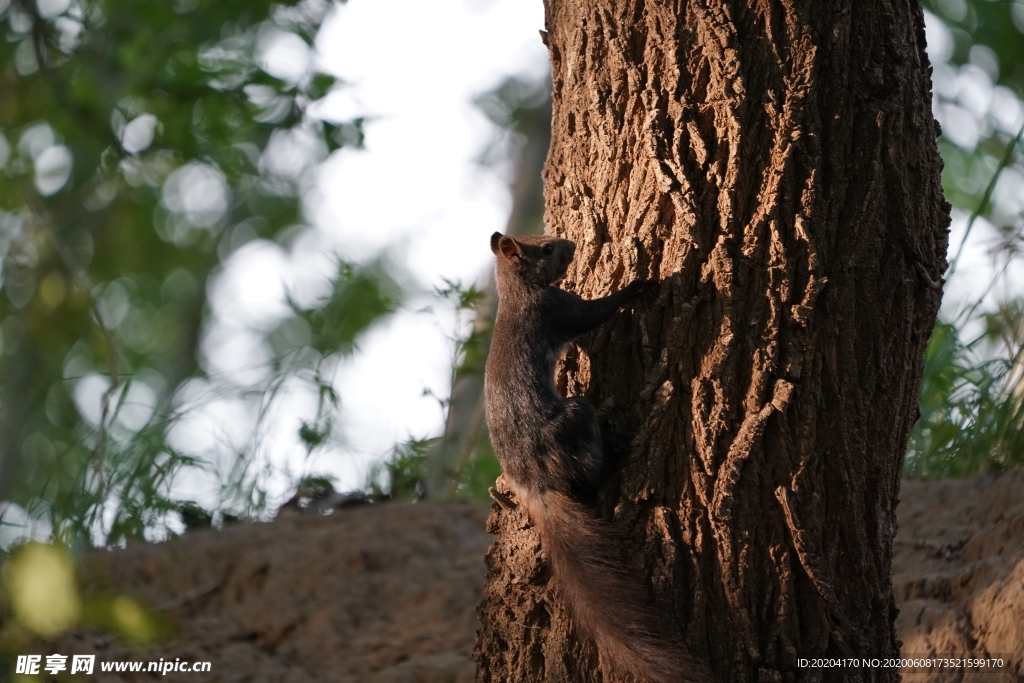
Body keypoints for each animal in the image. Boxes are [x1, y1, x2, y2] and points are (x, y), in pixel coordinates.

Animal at [485, 232, 712, 679]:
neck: (518, 292)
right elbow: (594, 314)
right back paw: (616, 456)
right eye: (547, 249)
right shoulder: (558, 310)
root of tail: (531, 481)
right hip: (575, 418)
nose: (571, 243)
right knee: (588, 476)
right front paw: (637, 286)